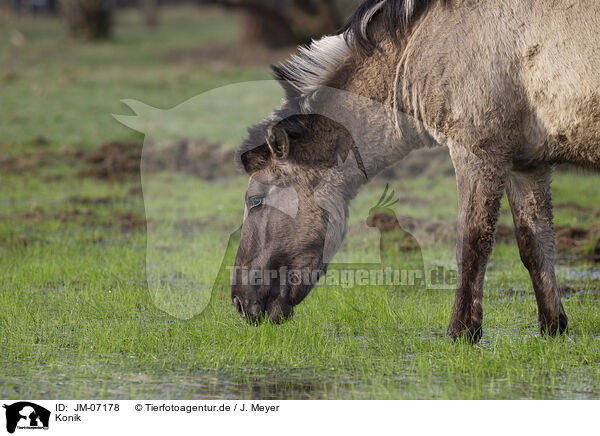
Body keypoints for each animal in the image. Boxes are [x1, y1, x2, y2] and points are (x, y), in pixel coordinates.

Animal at [231, 0, 600, 340]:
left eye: (255, 201)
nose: (239, 302)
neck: (426, 34)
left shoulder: (479, 154)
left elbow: (472, 244)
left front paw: (462, 332)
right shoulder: (527, 165)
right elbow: (536, 245)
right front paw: (553, 327)